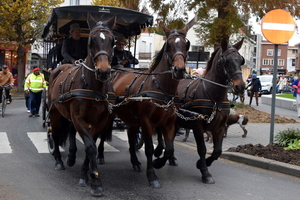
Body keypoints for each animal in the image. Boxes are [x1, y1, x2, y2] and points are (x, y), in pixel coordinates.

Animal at [47, 14, 116, 197]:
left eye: (112, 41)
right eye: (91, 40)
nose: (103, 71)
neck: (94, 87)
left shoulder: (100, 121)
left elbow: (90, 145)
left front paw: (86, 175)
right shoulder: (78, 118)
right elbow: (90, 147)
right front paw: (95, 181)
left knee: (70, 132)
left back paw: (71, 157)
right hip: (55, 112)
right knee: (55, 133)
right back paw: (58, 160)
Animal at [102, 18, 197, 188]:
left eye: (186, 44)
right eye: (169, 45)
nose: (179, 70)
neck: (161, 88)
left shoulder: (168, 123)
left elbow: (169, 148)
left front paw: (159, 162)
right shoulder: (146, 122)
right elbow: (149, 149)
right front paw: (152, 175)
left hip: (131, 118)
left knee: (131, 136)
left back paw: (135, 162)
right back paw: (100, 156)